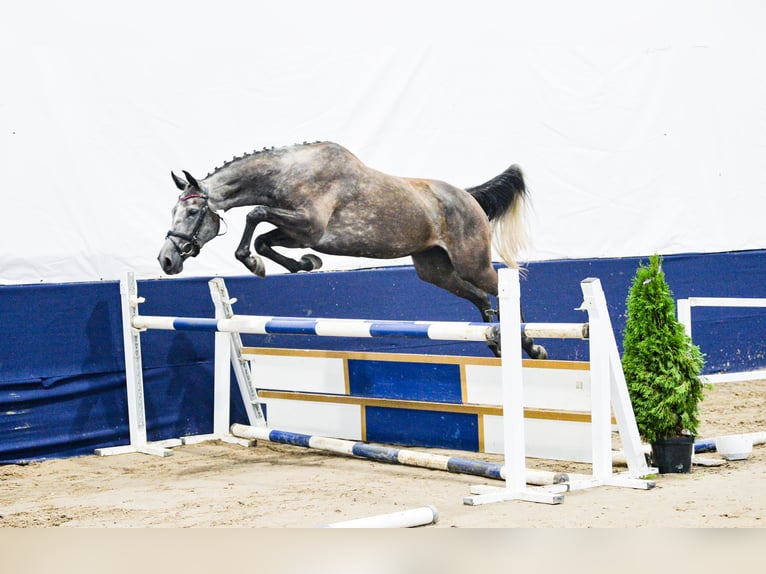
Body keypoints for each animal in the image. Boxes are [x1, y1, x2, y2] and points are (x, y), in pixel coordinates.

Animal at [157, 141, 546, 359]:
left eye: (191, 212)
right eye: (173, 211)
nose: (166, 260)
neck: (288, 173)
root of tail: (467, 196)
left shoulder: (309, 225)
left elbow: (255, 216)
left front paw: (257, 265)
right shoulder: (299, 233)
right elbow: (263, 239)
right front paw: (302, 263)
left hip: (471, 263)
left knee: (504, 290)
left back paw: (531, 346)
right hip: (434, 270)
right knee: (481, 299)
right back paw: (496, 343)